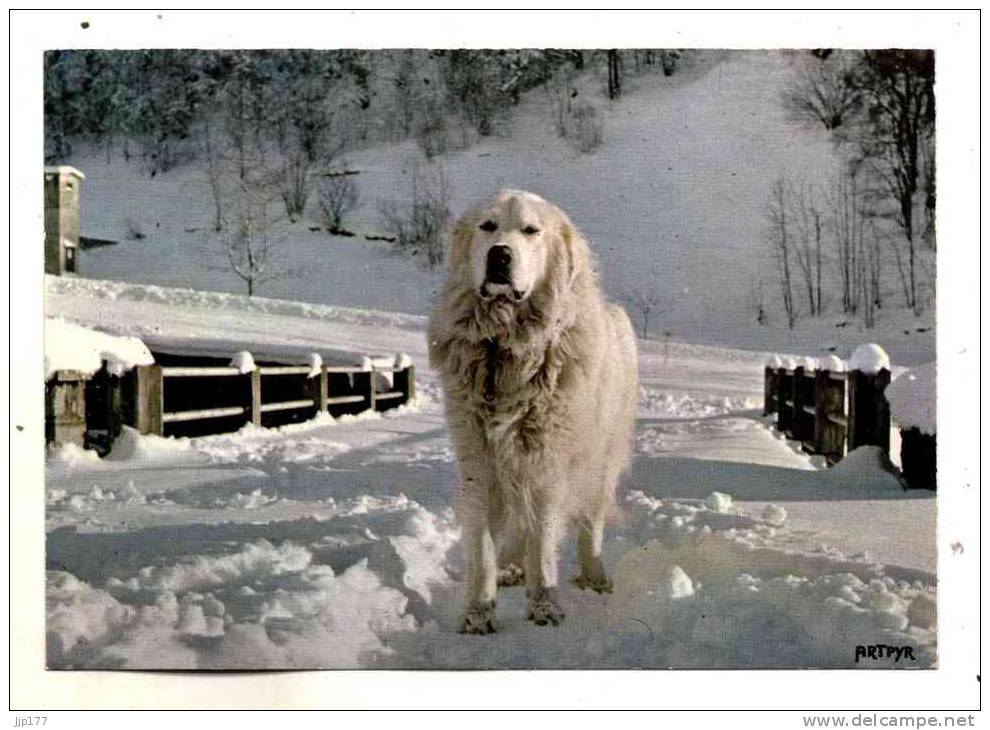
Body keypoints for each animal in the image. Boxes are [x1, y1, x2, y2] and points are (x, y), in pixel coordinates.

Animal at [430, 189, 640, 632]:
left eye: (531, 230)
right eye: (488, 226)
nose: (500, 254)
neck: (505, 347)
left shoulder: (546, 462)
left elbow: (543, 536)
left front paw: (544, 604)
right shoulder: (480, 460)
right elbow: (483, 546)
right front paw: (479, 611)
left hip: (600, 464)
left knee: (589, 523)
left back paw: (594, 577)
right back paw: (511, 567)